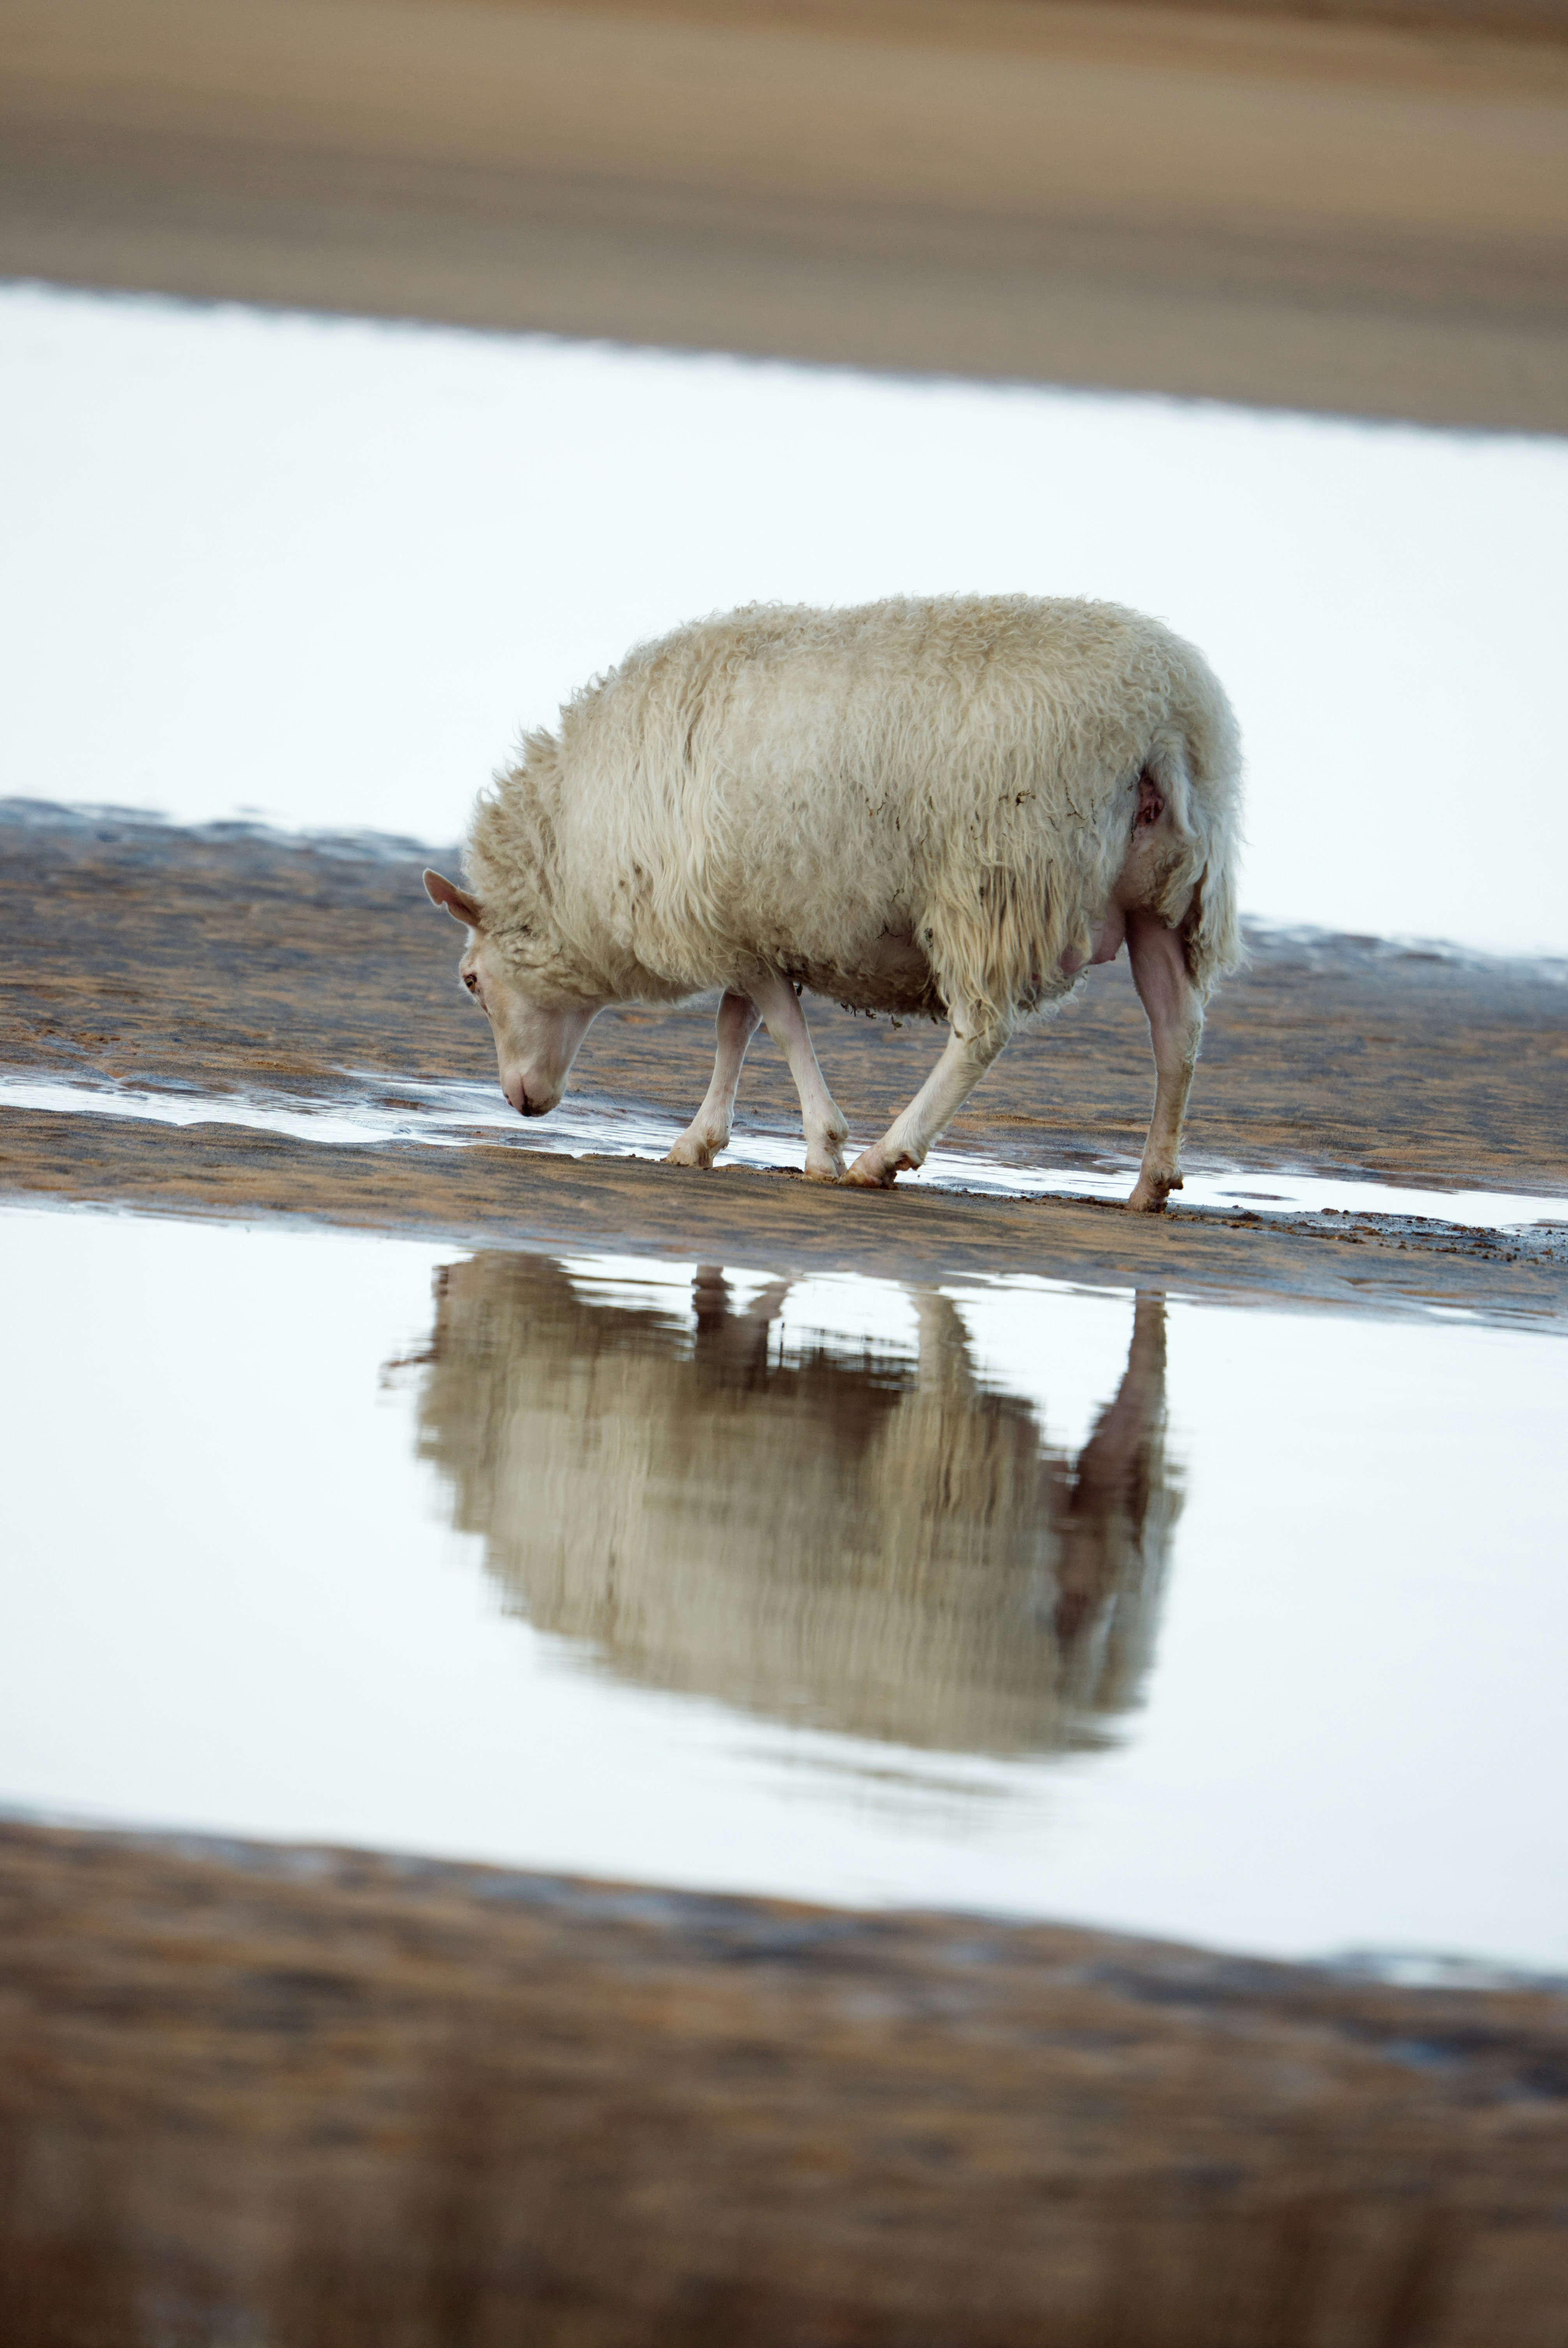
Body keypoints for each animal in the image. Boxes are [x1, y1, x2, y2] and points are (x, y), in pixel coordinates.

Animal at [424, 595, 1243, 1208]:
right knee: (1177, 1034)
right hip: (1164, 901)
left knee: (980, 1033)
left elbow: (779, 1029)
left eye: (471, 981)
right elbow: (735, 1029)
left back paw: (887, 1155)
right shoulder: (743, 920)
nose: (522, 1103)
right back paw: (1149, 1183)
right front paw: (700, 1140)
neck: (577, 854)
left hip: (992, 883)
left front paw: (822, 1144)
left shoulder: (738, 929)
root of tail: (1162, 717)